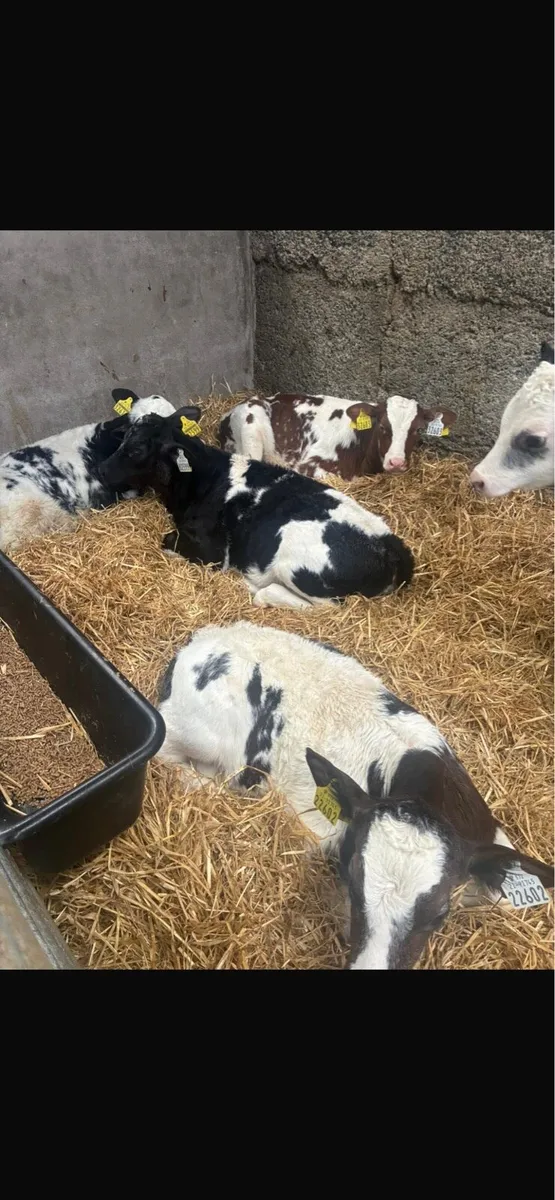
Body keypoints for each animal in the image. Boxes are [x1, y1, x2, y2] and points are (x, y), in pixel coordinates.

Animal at [97, 409, 414, 609]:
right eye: (123, 438)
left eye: (136, 449)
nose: (101, 471)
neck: (205, 479)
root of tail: (390, 545)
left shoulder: (212, 553)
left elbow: (166, 542)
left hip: (295, 566)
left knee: (324, 605)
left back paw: (254, 587)